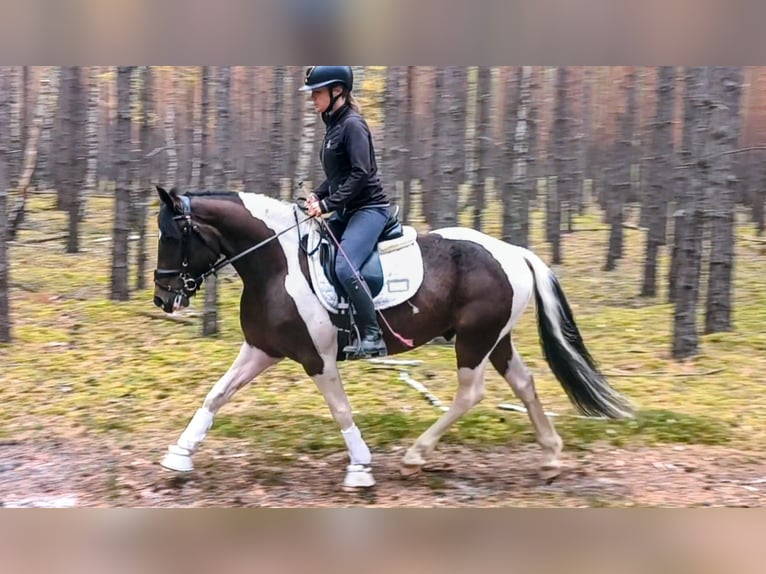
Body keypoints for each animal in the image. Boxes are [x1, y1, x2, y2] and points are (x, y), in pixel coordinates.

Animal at [152, 185, 634, 489]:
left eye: (174, 236)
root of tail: (514, 252)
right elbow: (216, 395)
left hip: (475, 339)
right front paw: (179, 455)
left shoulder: (317, 357)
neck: (276, 264)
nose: (163, 298)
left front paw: (361, 469)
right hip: (496, 339)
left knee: (470, 393)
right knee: (524, 384)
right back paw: (550, 459)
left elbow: (341, 409)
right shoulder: (261, 349)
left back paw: (415, 457)